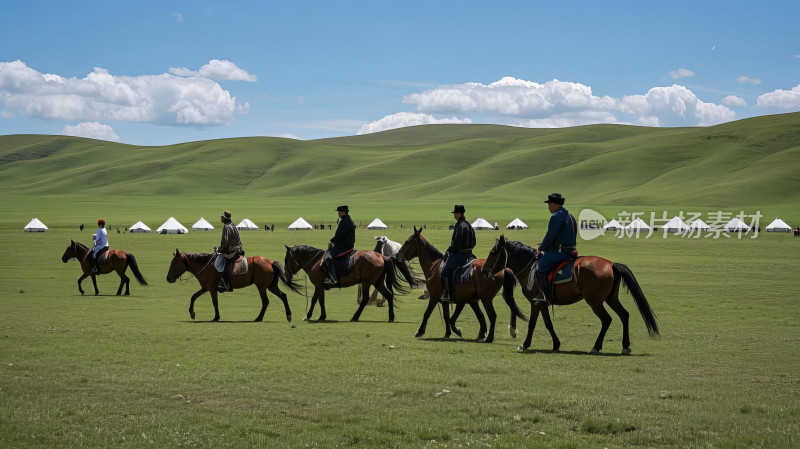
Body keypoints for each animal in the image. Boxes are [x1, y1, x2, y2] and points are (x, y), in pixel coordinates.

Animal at [164, 248, 302, 322]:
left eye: (173, 263)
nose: (168, 278)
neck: (206, 265)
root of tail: (270, 262)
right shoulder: (205, 288)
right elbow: (193, 297)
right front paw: (192, 313)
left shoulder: (211, 289)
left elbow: (215, 302)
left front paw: (216, 317)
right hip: (271, 286)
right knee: (283, 296)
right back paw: (288, 315)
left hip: (262, 287)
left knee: (265, 301)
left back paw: (259, 318)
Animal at [284, 245, 416, 322]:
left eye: (286, 260)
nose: (286, 275)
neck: (316, 262)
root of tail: (382, 257)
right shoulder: (319, 286)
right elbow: (318, 300)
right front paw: (317, 316)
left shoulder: (319, 285)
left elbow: (316, 300)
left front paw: (313, 316)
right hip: (377, 282)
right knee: (389, 295)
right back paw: (391, 317)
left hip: (367, 282)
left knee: (365, 299)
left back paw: (355, 317)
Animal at [396, 226, 532, 342]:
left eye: (408, 241)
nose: (398, 255)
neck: (433, 266)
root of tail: (503, 269)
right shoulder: (449, 300)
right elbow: (447, 317)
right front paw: (448, 333)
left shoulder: (435, 297)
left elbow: (428, 314)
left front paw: (420, 332)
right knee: (508, 309)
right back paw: (507, 332)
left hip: (486, 299)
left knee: (493, 315)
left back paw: (490, 338)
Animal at [482, 234, 664, 354]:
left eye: (493, 253)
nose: (484, 270)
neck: (529, 268)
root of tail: (611, 264)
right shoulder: (542, 302)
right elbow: (548, 323)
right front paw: (556, 344)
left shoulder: (535, 302)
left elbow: (532, 323)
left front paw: (525, 345)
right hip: (610, 298)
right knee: (624, 315)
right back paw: (625, 346)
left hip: (595, 301)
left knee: (607, 319)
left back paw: (596, 347)